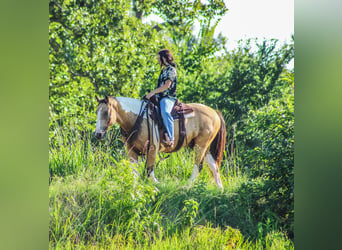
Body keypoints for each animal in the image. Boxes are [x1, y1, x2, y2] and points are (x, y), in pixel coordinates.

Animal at [95, 95, 226, 189]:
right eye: (97, 112)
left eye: (106, 112)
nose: (98, 134)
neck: (138, 118)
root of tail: (214, 112)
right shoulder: (131, 150)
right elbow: (134, 172)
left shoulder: (152, 148)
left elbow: (150, 172)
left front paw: (159, 185)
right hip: (202, 146)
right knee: (213, 165)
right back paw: (220, 189)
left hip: (200, 145)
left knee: (198, 166)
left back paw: (186, 186)